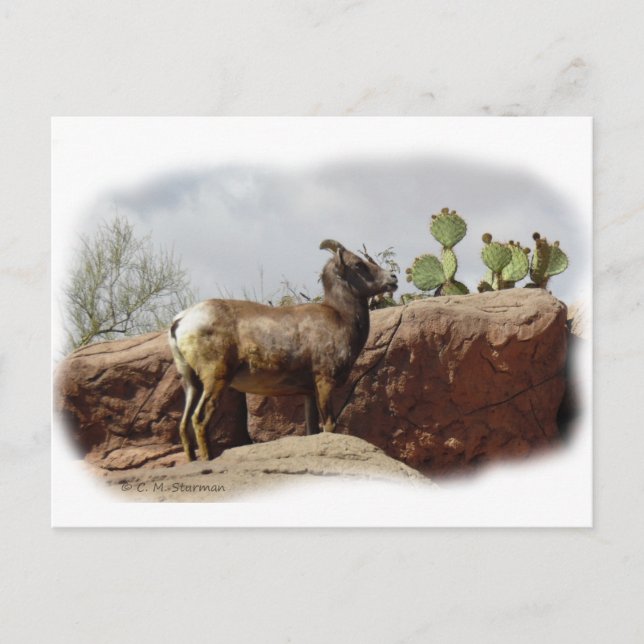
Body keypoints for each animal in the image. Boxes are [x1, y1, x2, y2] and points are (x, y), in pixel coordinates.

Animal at [168, 239, 398, 460]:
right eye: (358, 264)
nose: (393, 278)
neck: (341, 317)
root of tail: (181, 321)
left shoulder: (308, 393)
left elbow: (312, 431)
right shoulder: (324, 381)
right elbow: (330, 425)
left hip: (192, 383)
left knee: (184, 424)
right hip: (215, 379)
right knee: (199, 420)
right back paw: (208, 459)